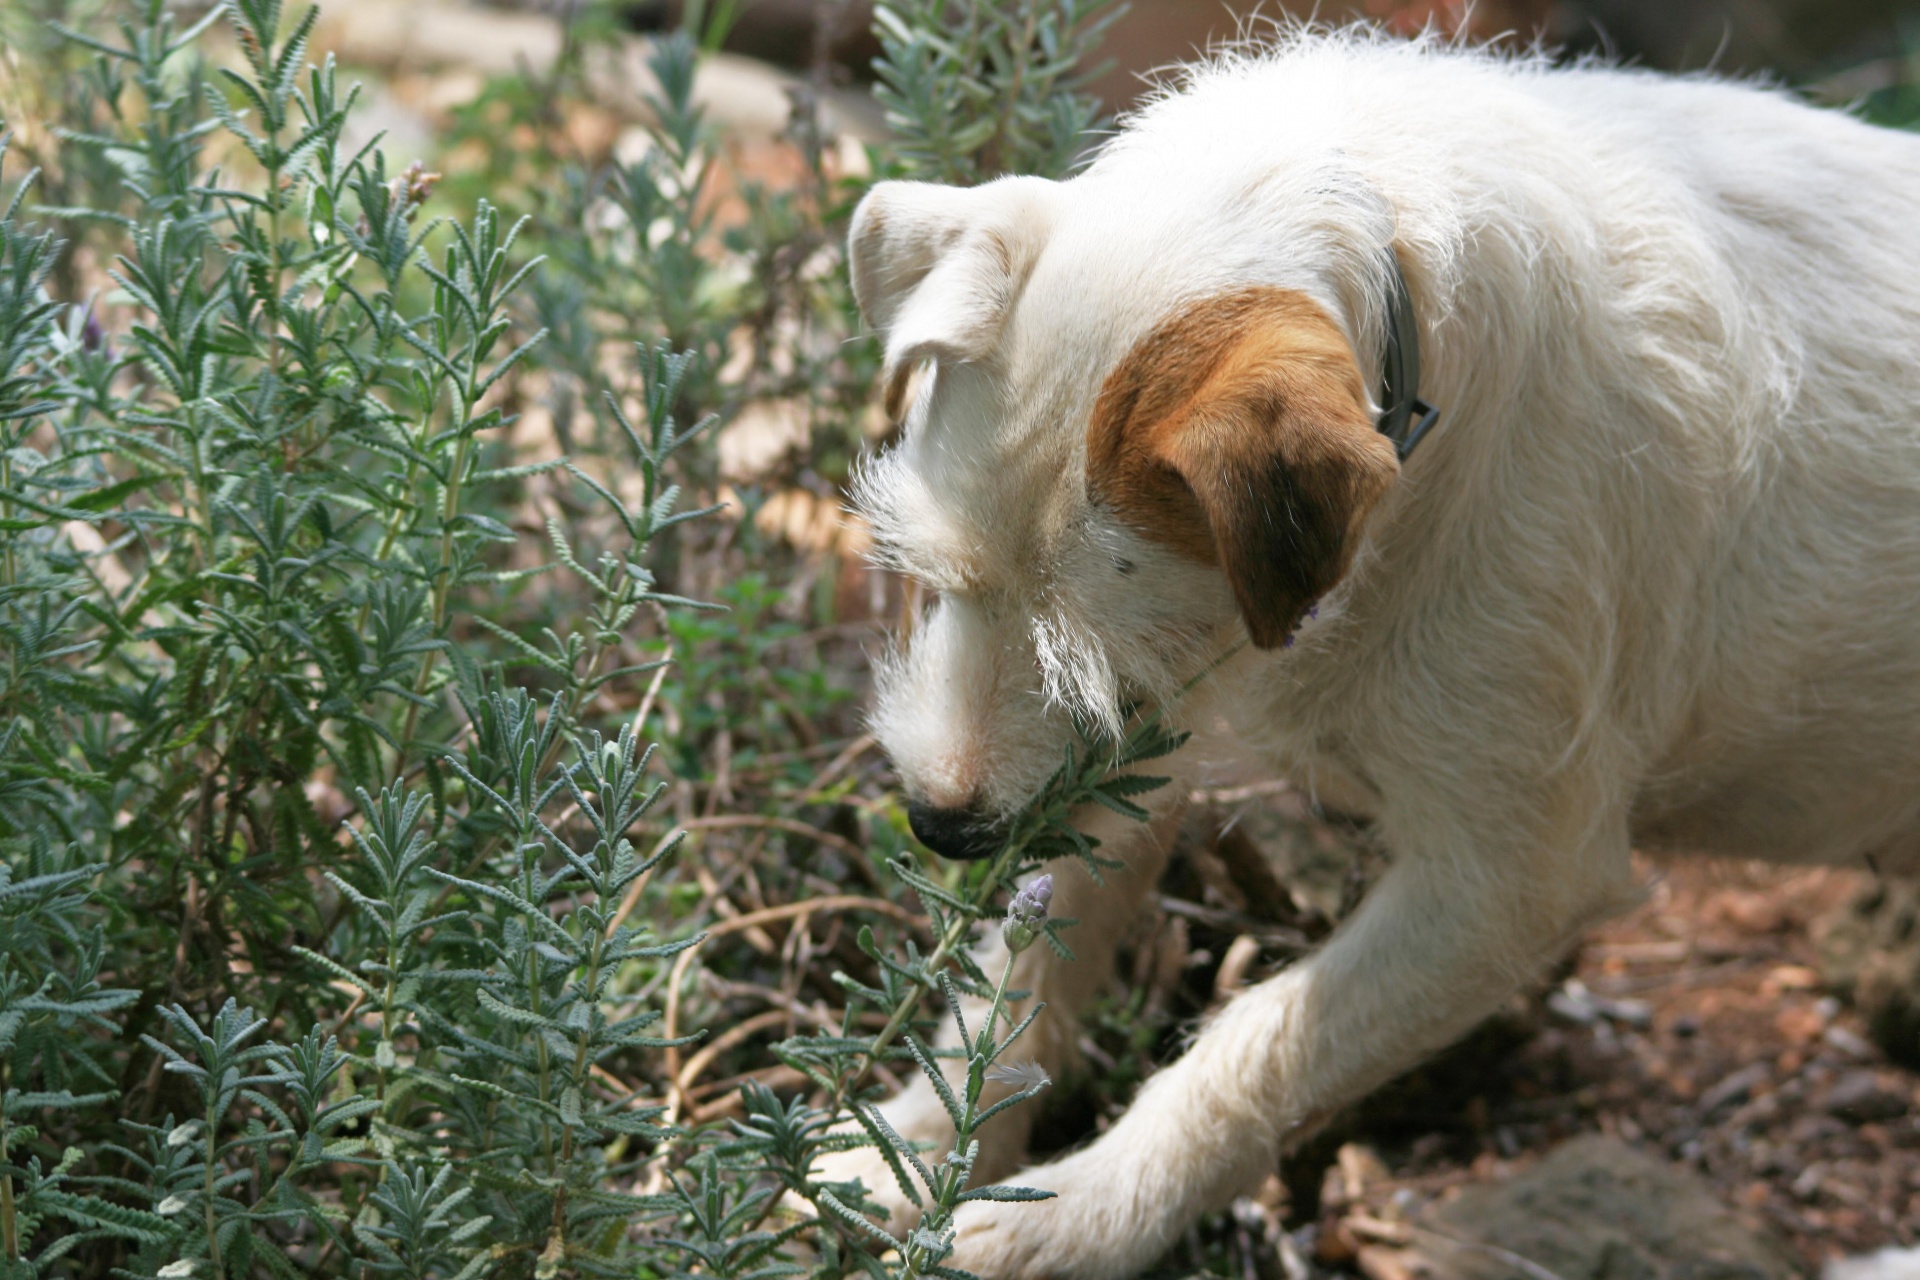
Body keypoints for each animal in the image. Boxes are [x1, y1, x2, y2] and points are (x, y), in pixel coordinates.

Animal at [837, 27, 1920, 1280]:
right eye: (938, 576)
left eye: (1110, 657)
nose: (942, 826)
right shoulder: (1140, 763)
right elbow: (1027, 956)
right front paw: (919, 1143)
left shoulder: (1501, 886)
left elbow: (1253, 1043)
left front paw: (1072, 1215)